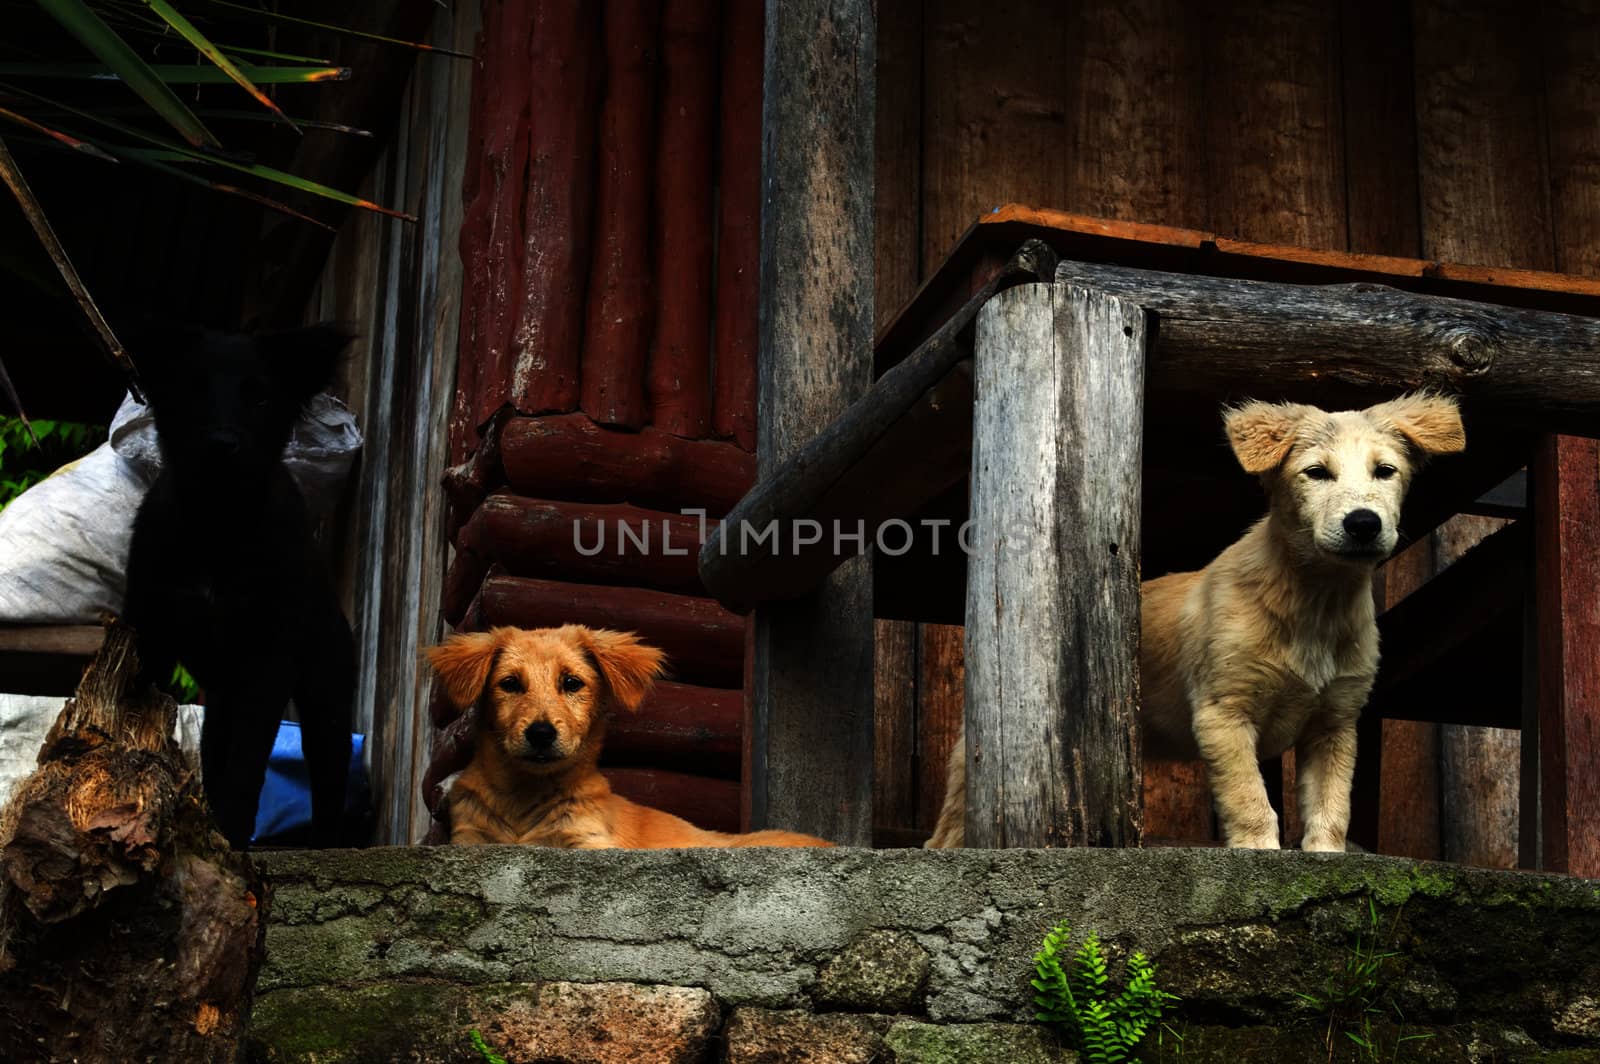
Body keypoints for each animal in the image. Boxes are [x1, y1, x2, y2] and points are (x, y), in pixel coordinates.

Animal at [124, 323, 356, 844]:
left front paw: (231, 832)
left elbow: (250, 760)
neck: (219, 525)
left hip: (326, 691)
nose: (221, 444)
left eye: (261, 398)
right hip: (221, 697)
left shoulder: (268, 657)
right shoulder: (148, 632)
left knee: (329, 771)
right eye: (193, 390)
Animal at [425, 624, 838, 844]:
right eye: (510, 684)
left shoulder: (589, 840)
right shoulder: (471, 839)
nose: (541, 733)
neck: (525, 796)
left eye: (572, 682)